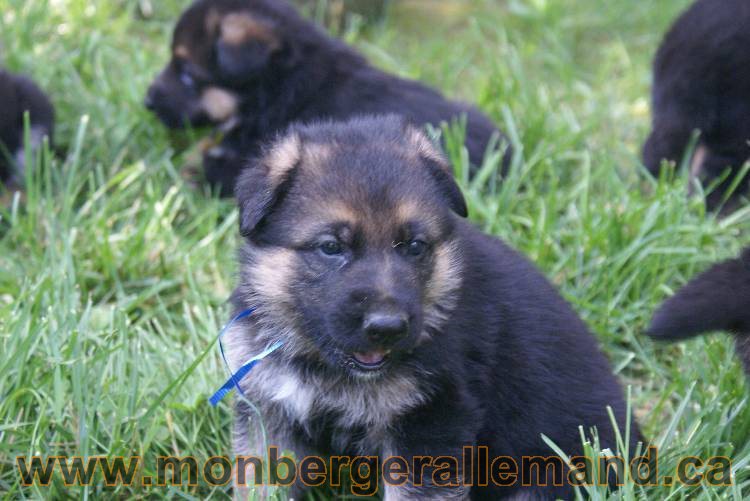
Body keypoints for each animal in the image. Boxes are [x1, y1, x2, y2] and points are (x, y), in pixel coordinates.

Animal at [228, 115, 640, 498]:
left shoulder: (431, 419)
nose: (388, 327)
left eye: (414, 246)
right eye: (331, 247)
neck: (322, 364)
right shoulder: (269, 409)